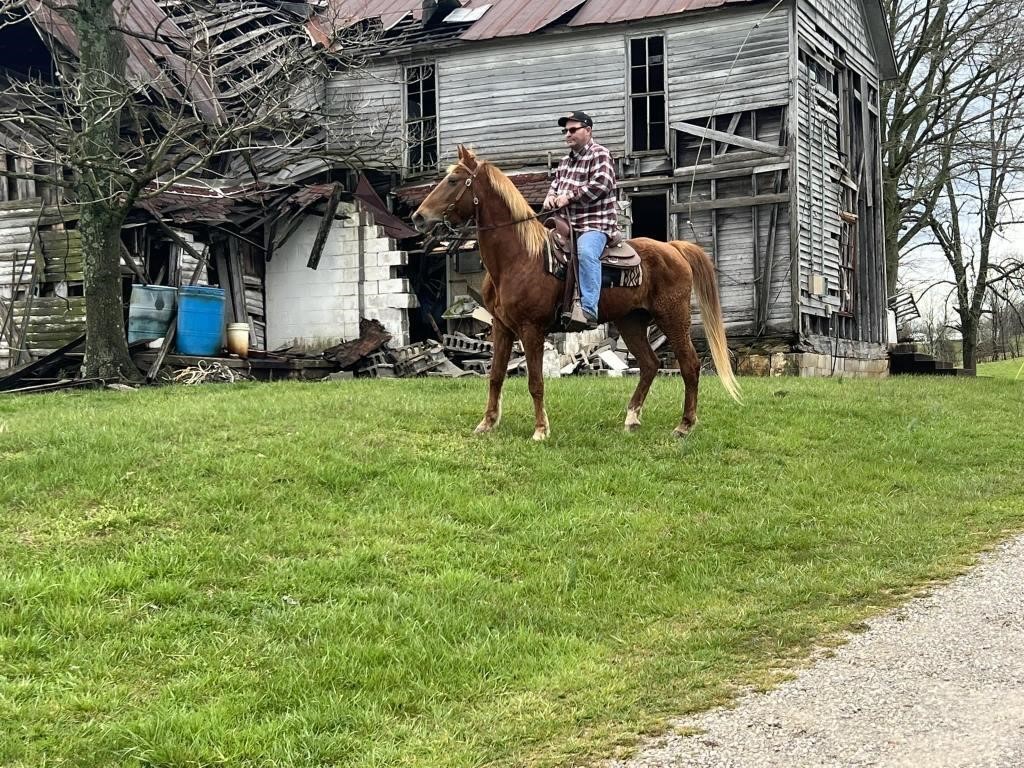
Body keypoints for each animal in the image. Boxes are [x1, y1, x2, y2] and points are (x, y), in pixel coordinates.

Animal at [411, 146, 741, 442]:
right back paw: (631, 418)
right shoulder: (501, 327)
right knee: (649, 365)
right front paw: (487, 424)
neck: (519, 257)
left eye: (454, 180)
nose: (418, 217)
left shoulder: (531, 329)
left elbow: (535, 381)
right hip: (631, 322)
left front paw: (540, 430)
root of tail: (673, 248)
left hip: (673, 318)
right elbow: (495, 377)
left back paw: (684, 425)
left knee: (690, 365)